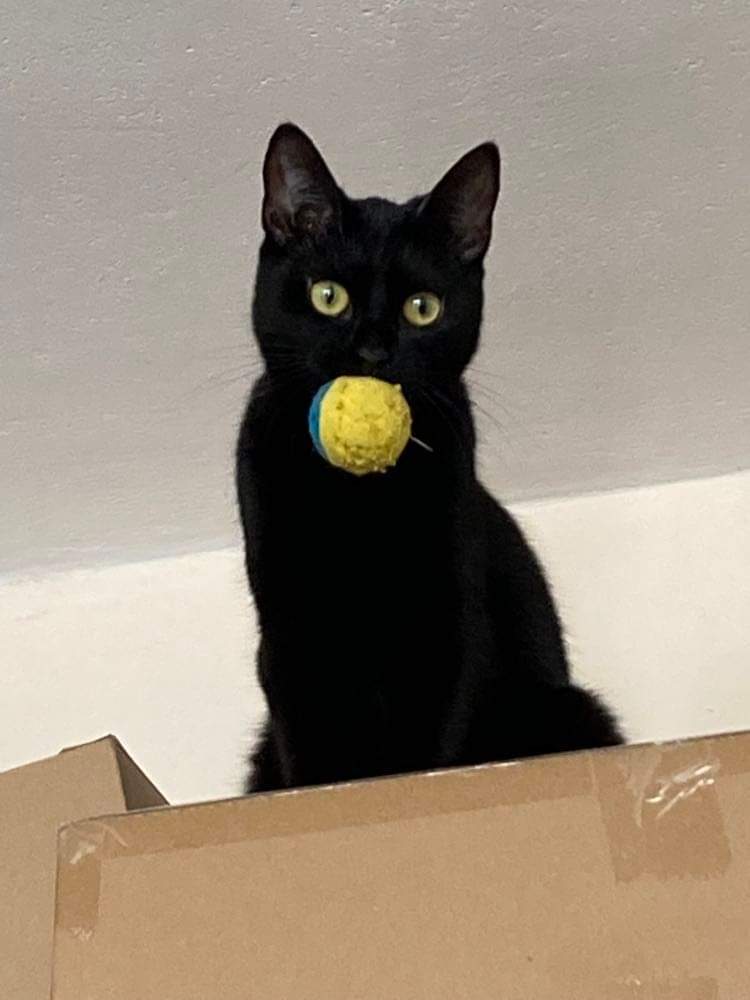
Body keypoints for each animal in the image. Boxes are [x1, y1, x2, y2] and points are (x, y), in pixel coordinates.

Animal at [237, 123, 623, 793]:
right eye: (328, 296)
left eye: (423, 307)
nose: (373, 350)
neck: (357, 492)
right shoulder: (288, 631)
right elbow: (309, 745)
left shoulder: (448, 620)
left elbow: (432, 740)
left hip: (565, 707)